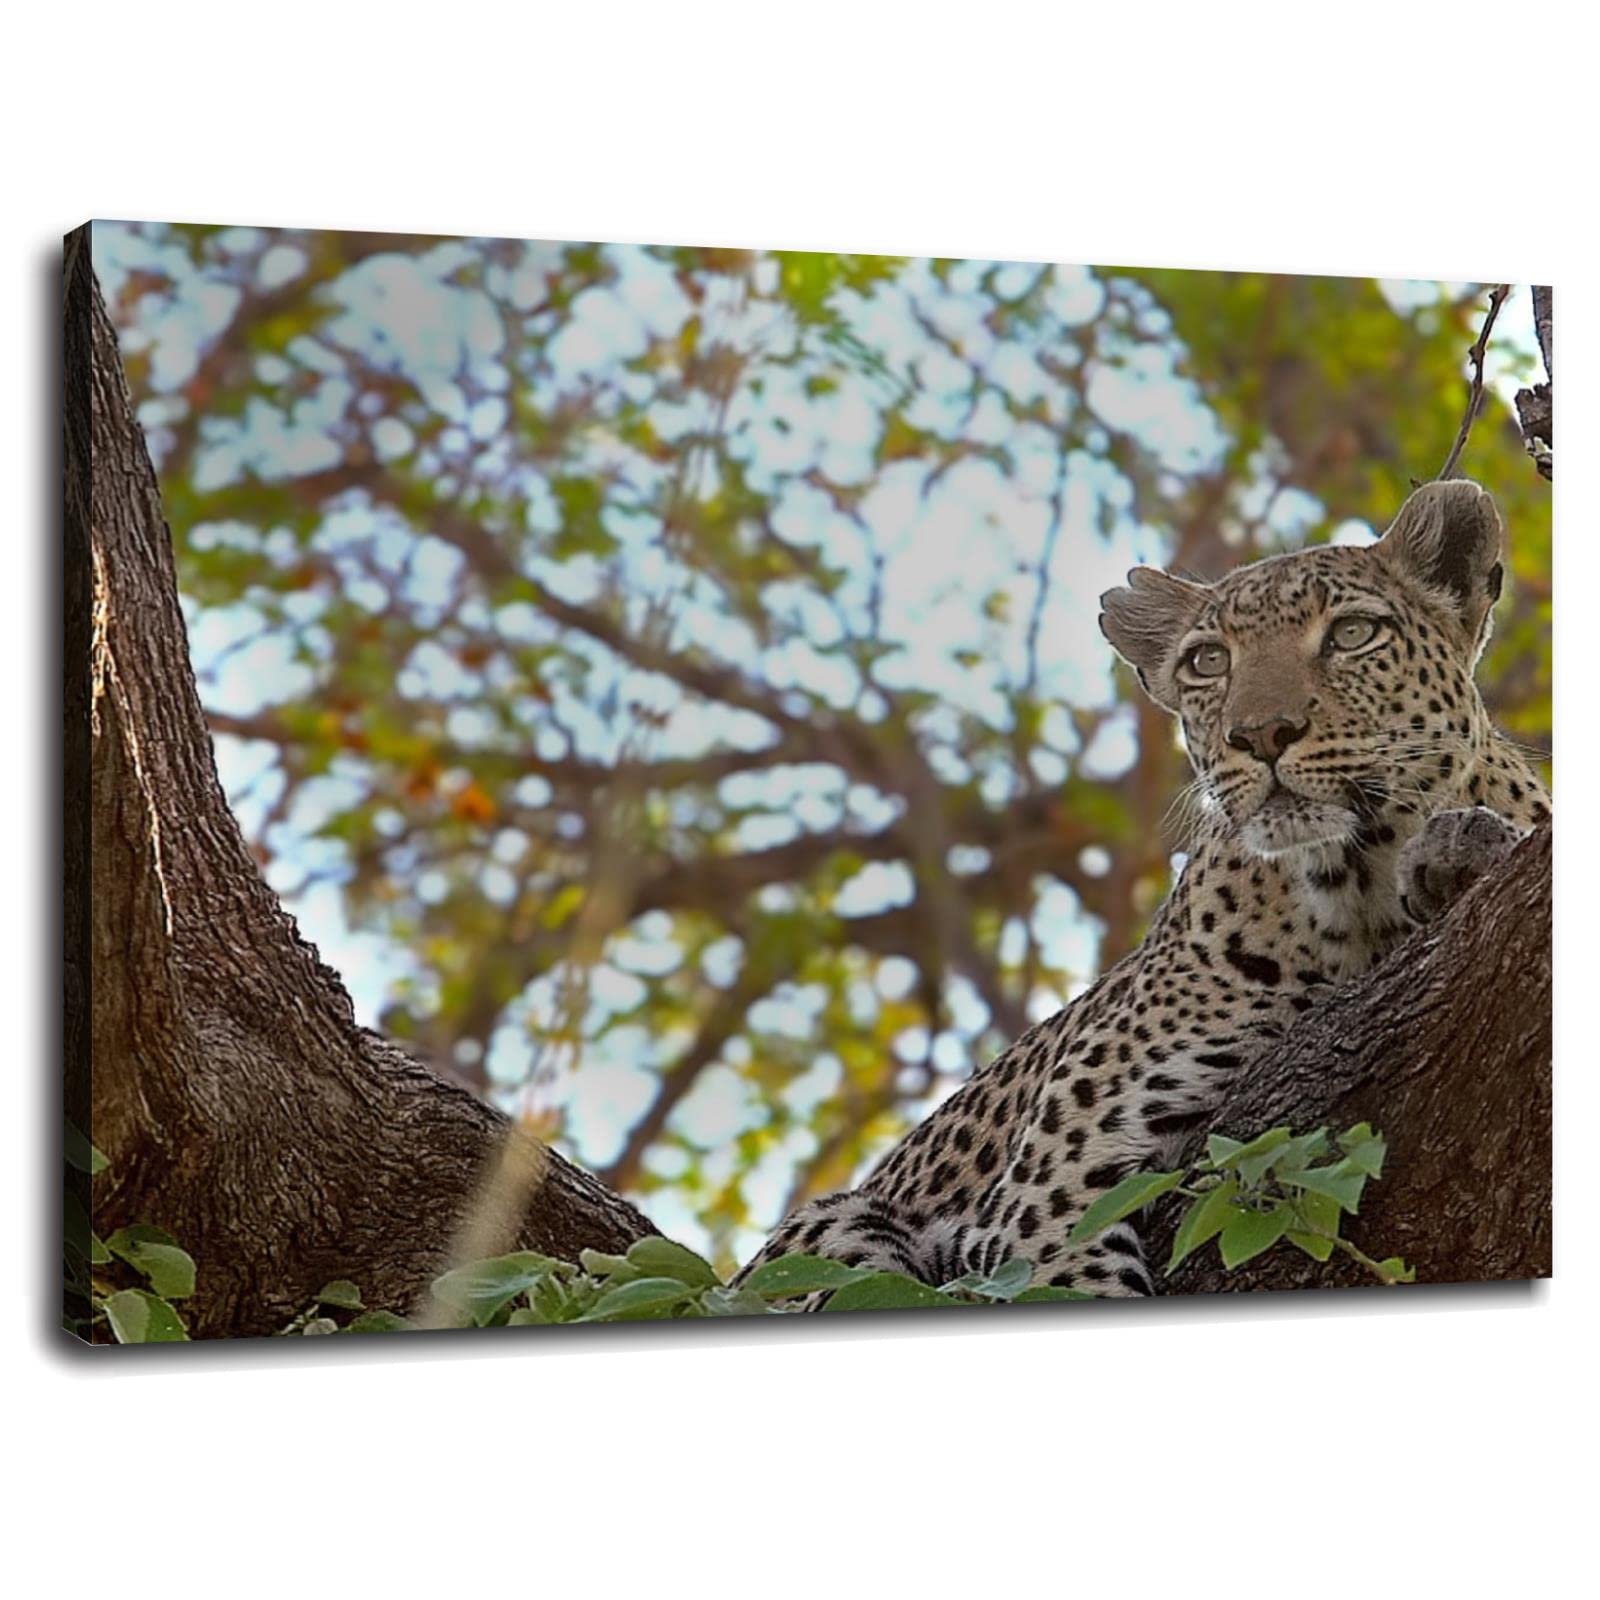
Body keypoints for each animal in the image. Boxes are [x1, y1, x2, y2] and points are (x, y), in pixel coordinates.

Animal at [739, 478, 1550, 1302]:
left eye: (1353, 634)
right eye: (1207, 661)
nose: (1261, 734)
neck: (1356, 888)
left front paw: (1458, 851)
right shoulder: (1054, 1173)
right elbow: (1070, 1274)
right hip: (833, 1228)